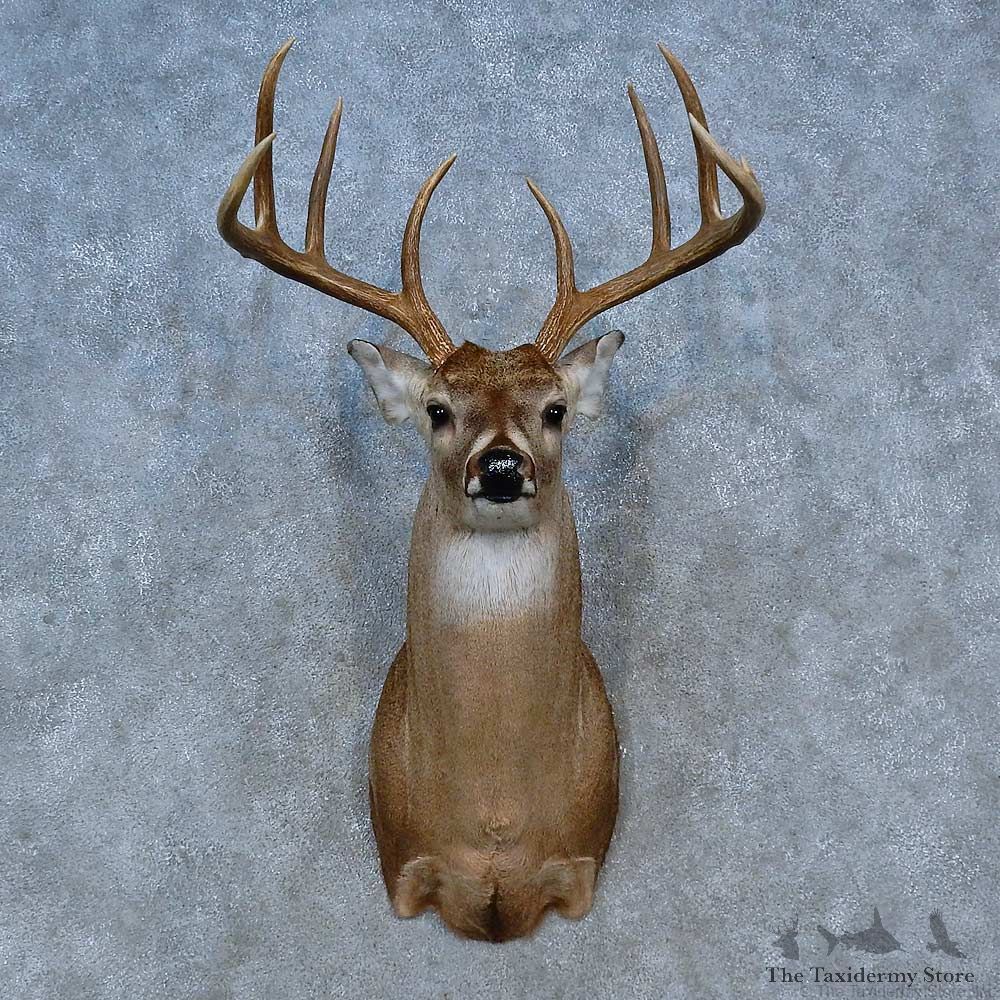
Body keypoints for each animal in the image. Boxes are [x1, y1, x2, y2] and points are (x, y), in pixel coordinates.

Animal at [217, 38, 764, 942]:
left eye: (555, 409)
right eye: (438, 408)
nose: (502, 467)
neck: (495, 814)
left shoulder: (580, 864)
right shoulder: (405, 864)